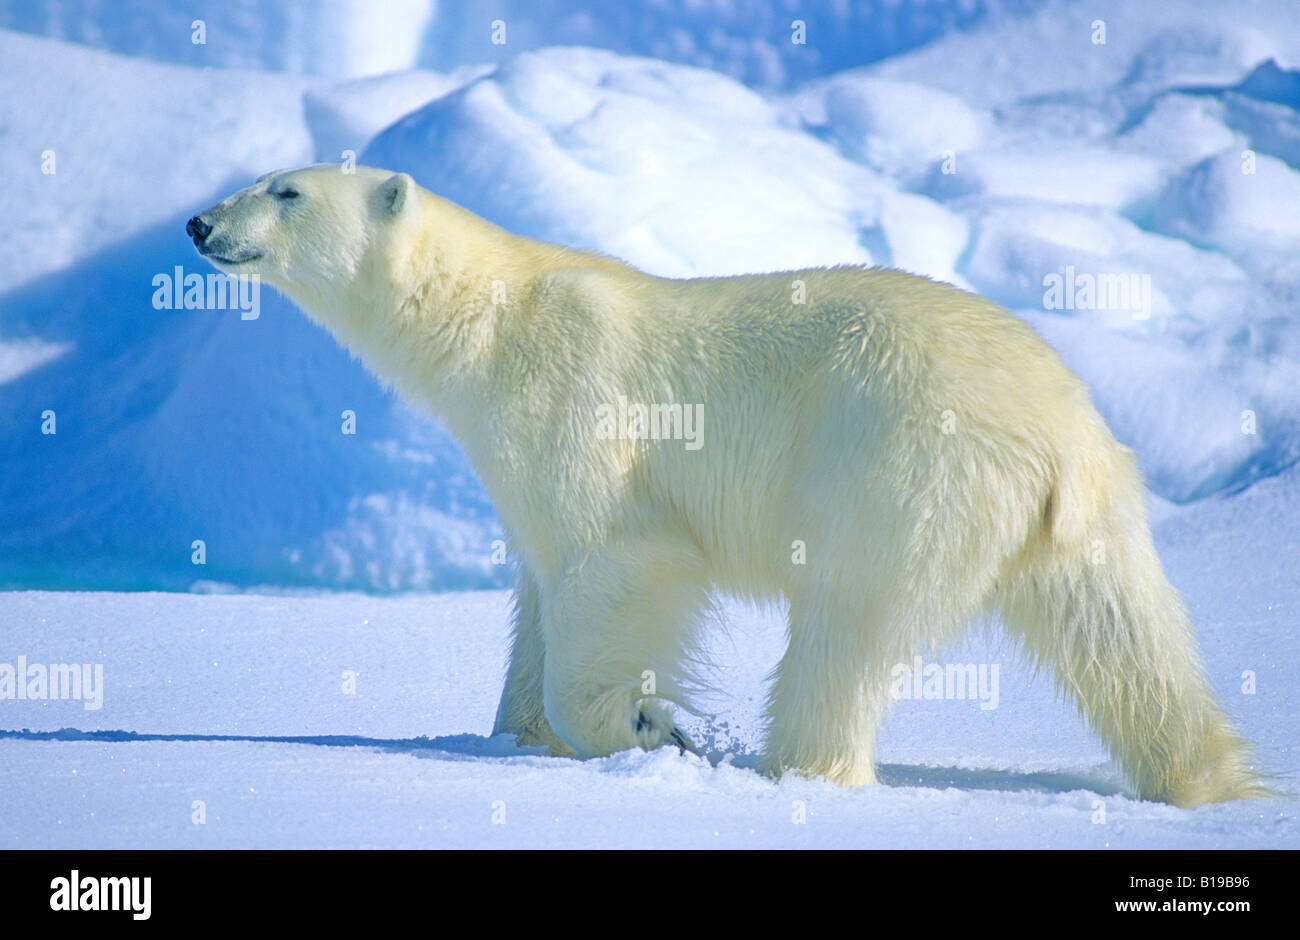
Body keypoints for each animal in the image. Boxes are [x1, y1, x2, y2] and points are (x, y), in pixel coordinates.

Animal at [188, 165, 1263, 806]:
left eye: (284, 189)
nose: (198, 222)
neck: (489, 320)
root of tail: (1060, 433)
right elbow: (536, 589)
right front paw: (515, 736)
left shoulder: (575, 402)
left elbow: (614, 557)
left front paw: (649, 725)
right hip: (1084, 514)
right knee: (1123, 630)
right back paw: (1207, 778)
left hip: (901, 462)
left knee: (847, 623)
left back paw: (795, 768)